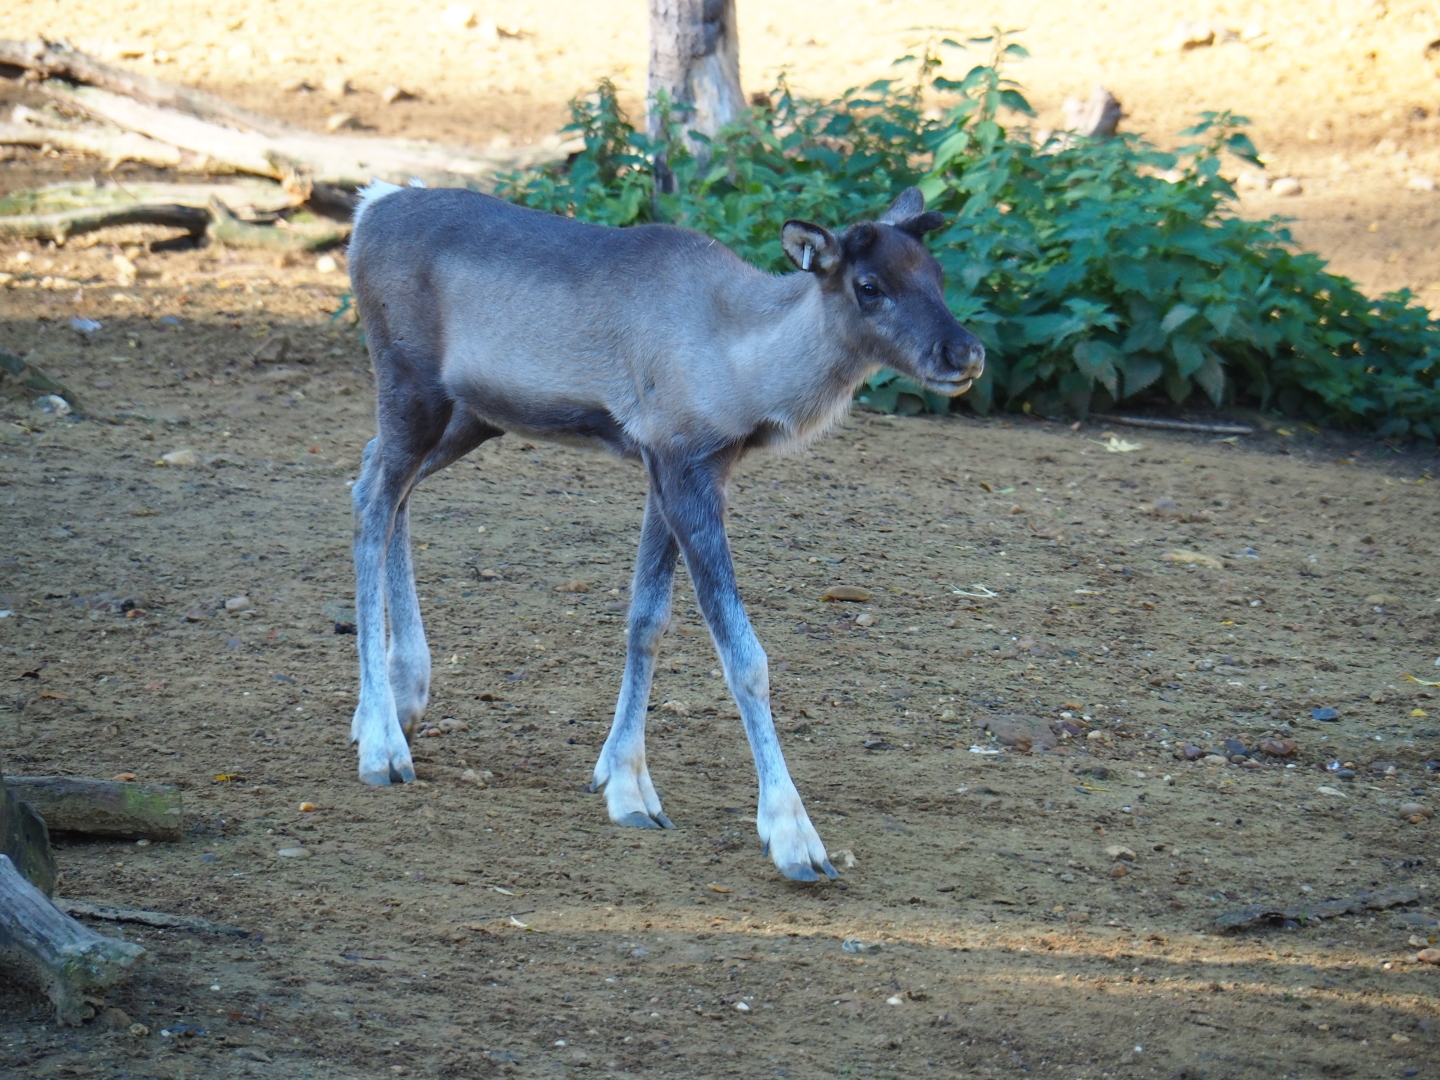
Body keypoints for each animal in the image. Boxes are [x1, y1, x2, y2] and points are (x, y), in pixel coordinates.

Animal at [345, 183, 984, 881]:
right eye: (869, 285)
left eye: (937, 275)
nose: (966, 353)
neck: (745, 367)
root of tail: (367, 208)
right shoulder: (683, 466)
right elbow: (744, 656)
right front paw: (792, 834)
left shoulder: (670, 468)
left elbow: (647, 619)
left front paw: (626, 784)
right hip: (408, 383)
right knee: (374, 504)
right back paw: (381, 742)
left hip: (471, 415)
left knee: (378, 478)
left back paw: (403, 693)